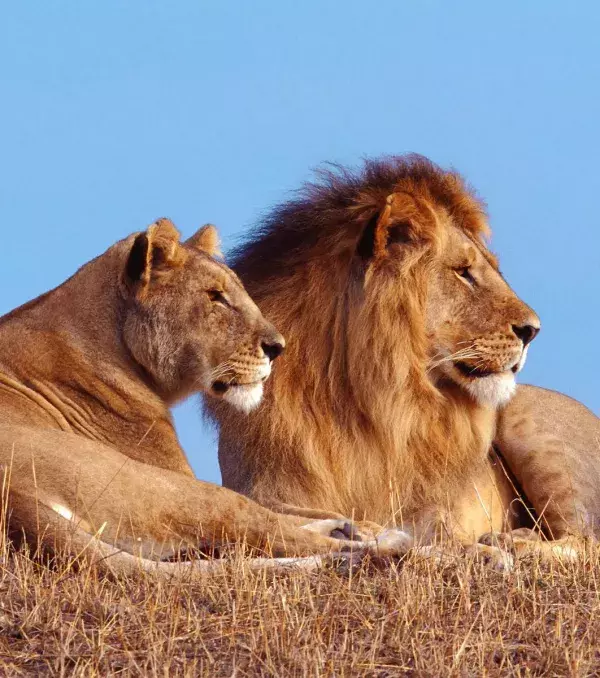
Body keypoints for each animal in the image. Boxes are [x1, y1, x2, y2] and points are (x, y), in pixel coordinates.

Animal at [0, 217, 408, 577]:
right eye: (215, 297)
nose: (278, 348)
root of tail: (12, 501)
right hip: (176, 492)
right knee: (273, 532)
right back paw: (385, 546)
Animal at [209, 155, 599, 562]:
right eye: (464, 272)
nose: (532, 330)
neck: (357, 398)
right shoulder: (257, 485)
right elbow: (274, 514)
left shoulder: (427, 506)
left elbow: (431, 528)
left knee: (586, 542)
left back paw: (511, 542)